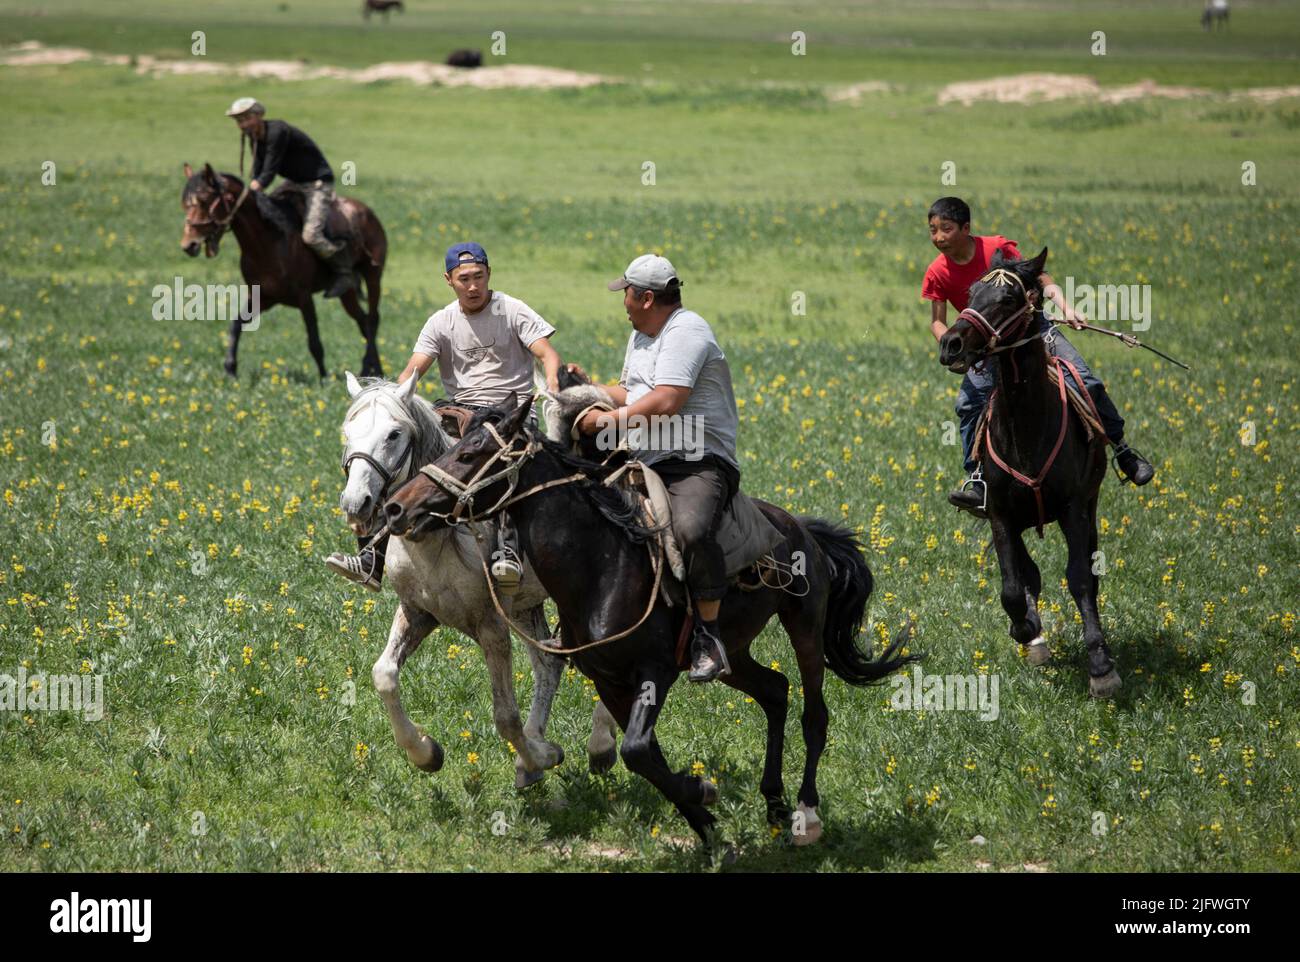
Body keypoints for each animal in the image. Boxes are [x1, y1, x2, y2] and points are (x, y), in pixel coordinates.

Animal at [182, 163, 384, 377]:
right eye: (185, 205)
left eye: (204, 201)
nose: (188, 245)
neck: (268, 243)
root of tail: (367, 212)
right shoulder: (264, 297)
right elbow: (236, 324)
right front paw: (230, 369)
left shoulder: (304, 297)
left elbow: (314, 342)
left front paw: (323, 377)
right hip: (348, 292)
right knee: (363, 321)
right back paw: (369, 369)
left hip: (373, 276)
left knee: (373, 319)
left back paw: (375, 369)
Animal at [335, 371, 618, 785]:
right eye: (348, 432)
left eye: (393, 434)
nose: (357, 503)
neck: (438, 537)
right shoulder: (418, 612)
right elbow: (384, 674)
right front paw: (426, 753)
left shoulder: (491, 626)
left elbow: (505, 716)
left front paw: (541, 758)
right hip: (526, 606)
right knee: (548, 664)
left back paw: (600, 744)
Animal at [379, 395, 920, 852]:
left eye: (471, 454)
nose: (396, 507)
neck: (602, 565)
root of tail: (801, 528)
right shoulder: (609, 680)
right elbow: (647, 756)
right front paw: (706, 824)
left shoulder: (652, 672)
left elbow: (639, 750)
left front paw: (702, 793)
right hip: (732, 653)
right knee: (774, 690)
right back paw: (772, 802)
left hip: (804, 626)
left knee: (814, 713)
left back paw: (806, 815)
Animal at [941, 248, 1123, 696]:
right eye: (970, 293)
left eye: (1008, 299)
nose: (951, 344)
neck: (1027, 425)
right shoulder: (1000, 514)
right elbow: (1011, 587)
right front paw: (1025, 629)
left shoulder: (1074, 509)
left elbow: (1080, 579)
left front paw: (1101, 667)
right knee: (1028, 574)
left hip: (1089, 505)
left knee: (1086, 574)